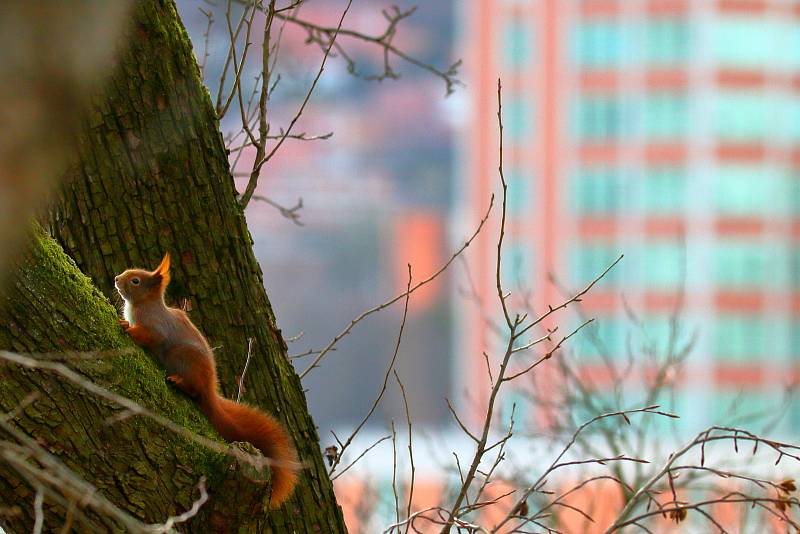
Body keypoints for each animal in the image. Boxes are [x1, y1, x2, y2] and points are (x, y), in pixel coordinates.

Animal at [114, 253, 298, 508]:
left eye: (135, 281)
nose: (115, 279)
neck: (143, 306)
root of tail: (209, 387)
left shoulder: (156, 328)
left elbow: (150, 336)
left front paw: (129, 329)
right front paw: (124, 323)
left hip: (180, 356)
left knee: (194, 391)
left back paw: (179, 382)